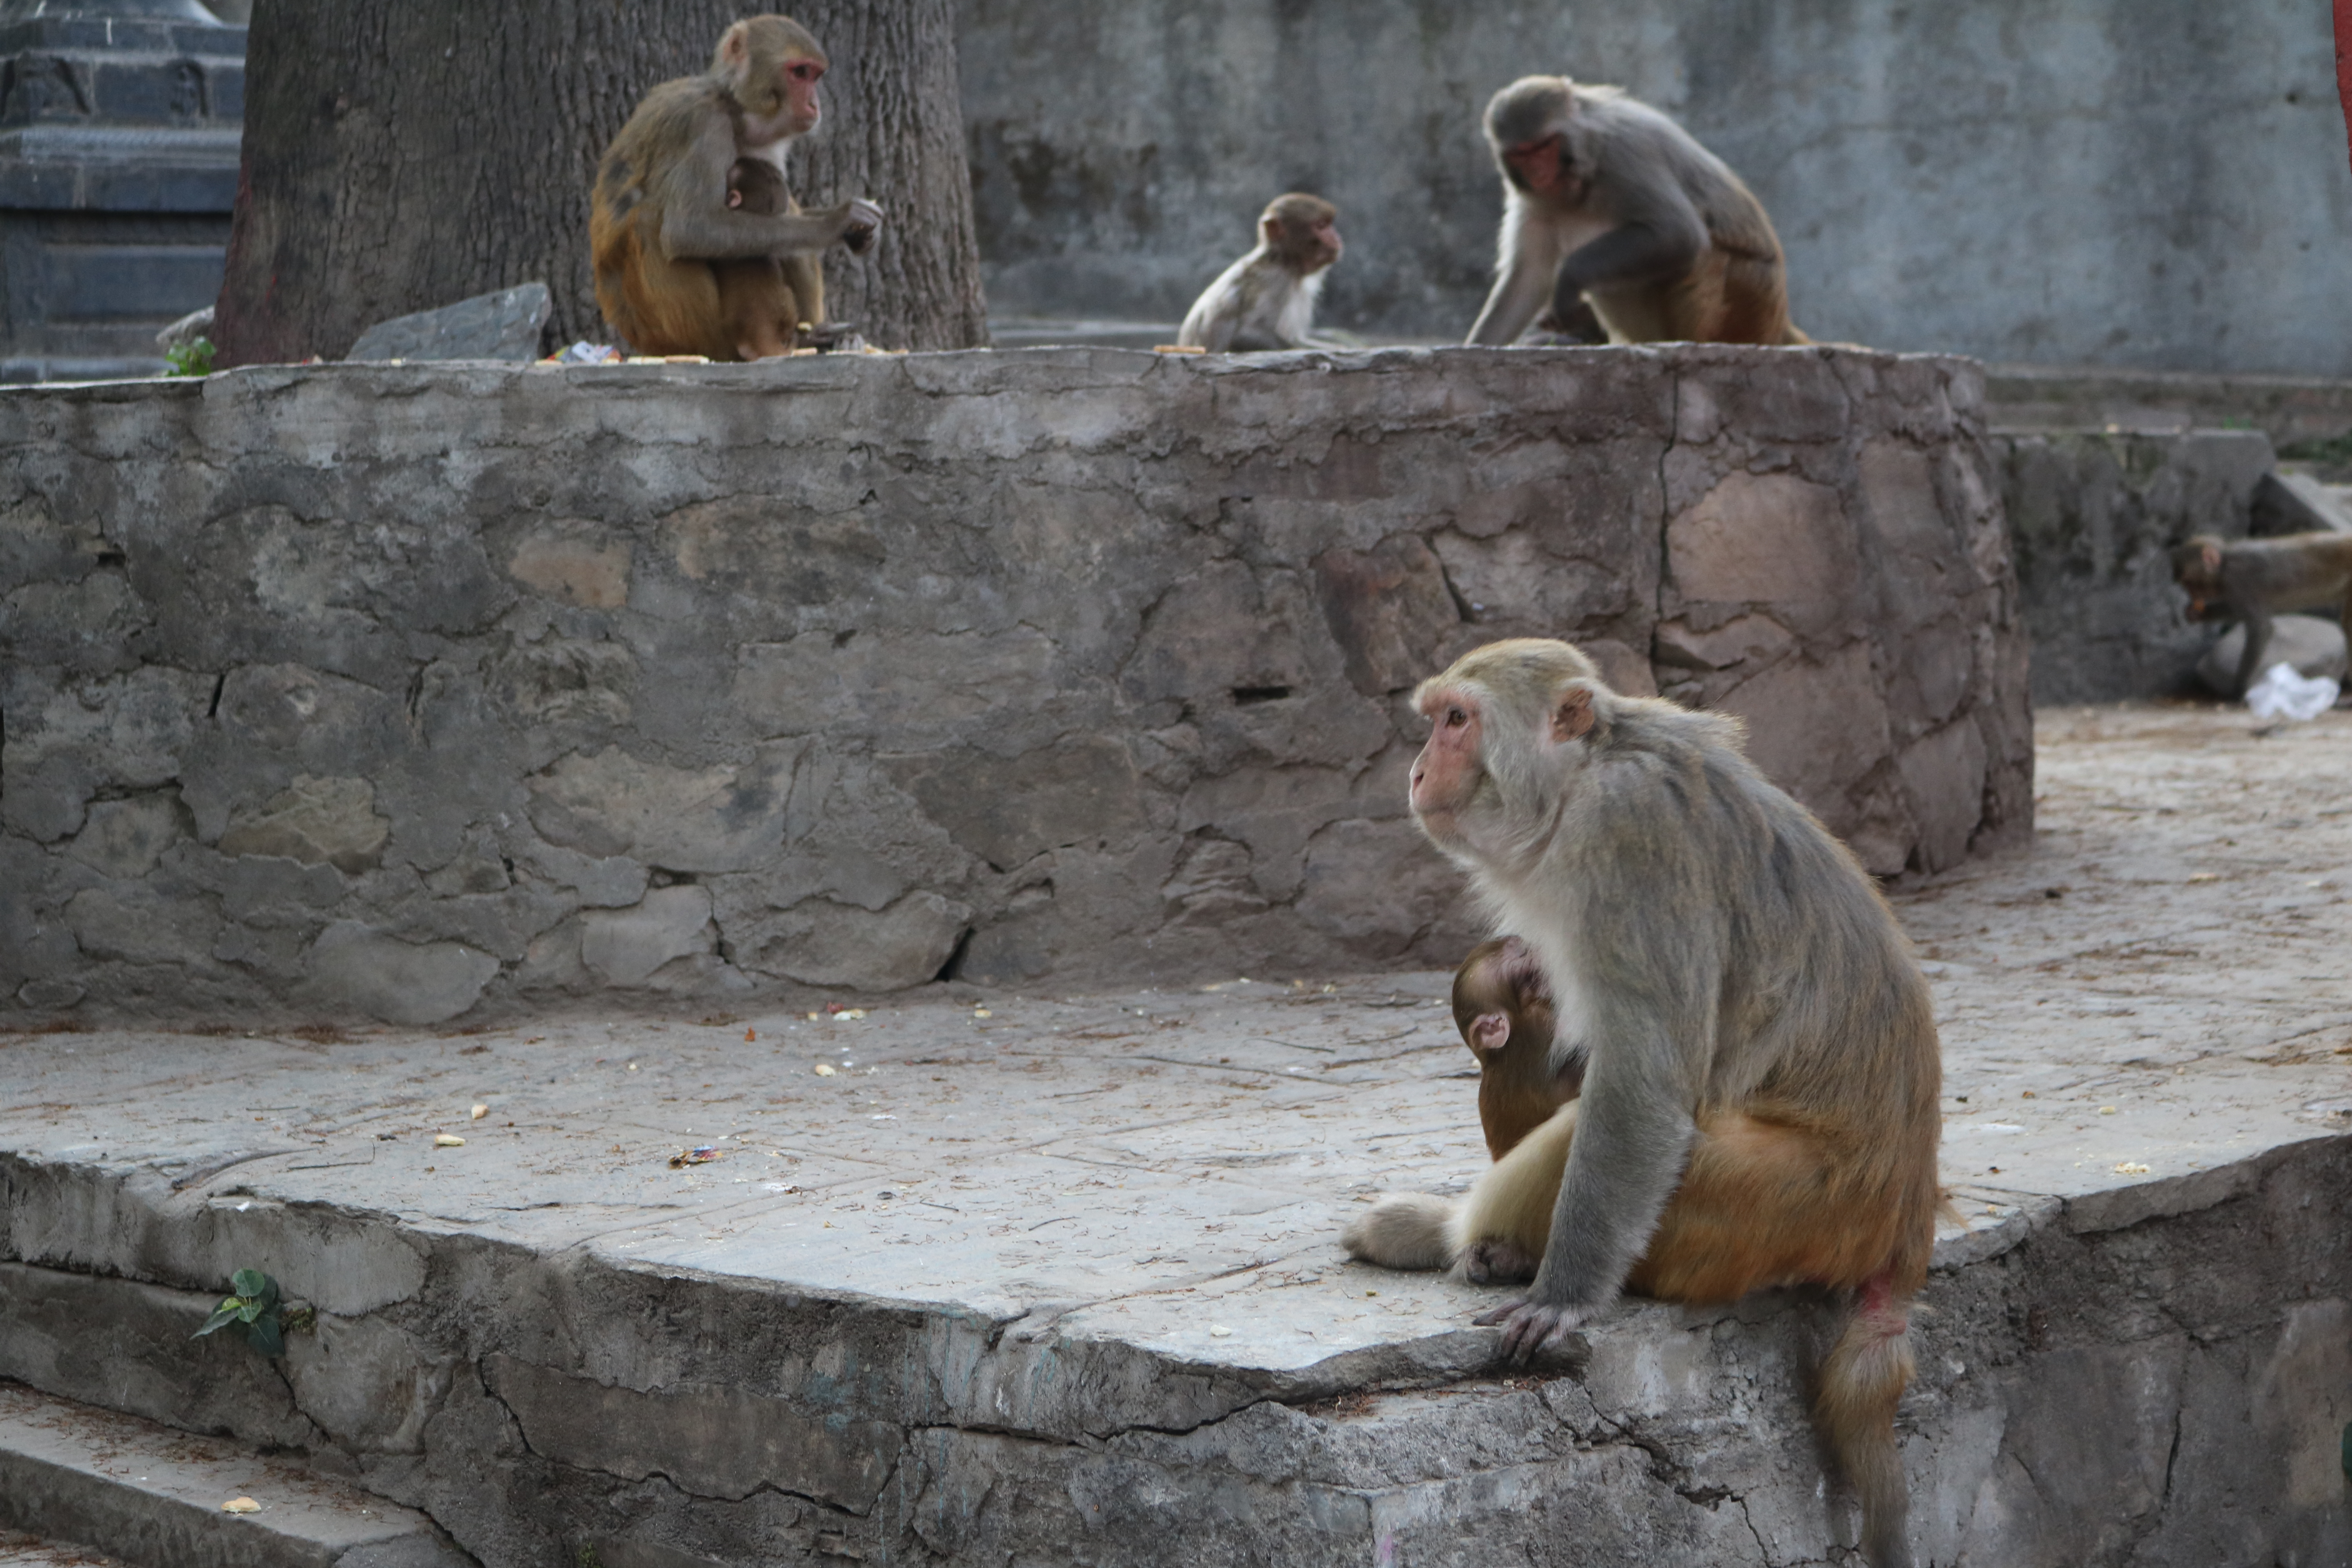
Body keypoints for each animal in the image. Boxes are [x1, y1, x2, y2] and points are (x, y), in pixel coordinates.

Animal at [590, 15, 883, 361]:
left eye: (815, 74)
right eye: (799, 72)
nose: (814, 104)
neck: (735, 108)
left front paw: (862, 232)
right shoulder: (705, 124)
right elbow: (690, 230)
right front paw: (836, 223)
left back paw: (813, 338)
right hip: (658, 335)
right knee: (649, 223)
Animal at [1175, 193, 1344, 352]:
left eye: (1329, 224)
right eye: (1321, 226)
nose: (1337, 237)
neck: (1282, 259)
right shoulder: (1277, 280)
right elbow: (1244, 334)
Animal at [1341, 638, 1941, 1568]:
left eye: (1456, 720)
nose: (1414, 770)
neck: (1585, 776)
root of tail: (1904, 1222)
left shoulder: (1628, 844)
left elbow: (1640, 1088)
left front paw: (1562, 1294)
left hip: (1776, 1204)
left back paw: (1471, 1241)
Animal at [1465, 76, 1806, 349]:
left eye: (1545, 147)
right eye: (1522, 154)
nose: (1538, 173)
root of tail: (1781, 322)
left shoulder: (1624, 154)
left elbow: (1678, 233)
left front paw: (1567, 282)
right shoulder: (1534, 202)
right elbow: (1528, 278)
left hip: (1752, 303)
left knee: (1702, 257)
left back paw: (1691, 342)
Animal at [2171, 531, 2352, 698]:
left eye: (2189, 584)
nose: (2193, 596)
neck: (2225, 564)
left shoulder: (2237, 580)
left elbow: (2261, 628)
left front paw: (2239, 689)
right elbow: (2237, 611)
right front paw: (2197, 614)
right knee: (2347, 625)